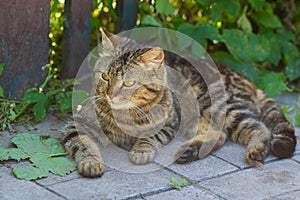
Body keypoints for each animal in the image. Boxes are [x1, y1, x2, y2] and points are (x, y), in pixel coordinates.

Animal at [62, 29, 296, 177]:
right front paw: (91, 162)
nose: (110, 94)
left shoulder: (170, 123)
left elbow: (150, 136)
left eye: (128, 83)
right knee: (221, 134)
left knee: (259, 127)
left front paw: (141, 150)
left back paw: (256, 150)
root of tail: (242, 76)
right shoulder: (78, 124)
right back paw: (191, 151)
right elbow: (82, 144)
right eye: (105, 77)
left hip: (217, 107)